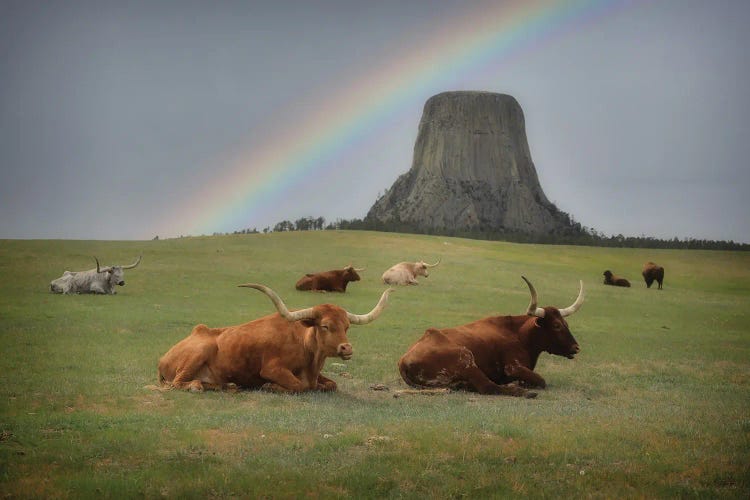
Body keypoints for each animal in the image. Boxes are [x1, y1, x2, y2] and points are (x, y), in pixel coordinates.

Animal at [159, 284, 394, 392]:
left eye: (347, 326)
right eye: (325, 326)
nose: (347, 348)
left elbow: (331, 385)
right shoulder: (271, 369)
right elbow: (300, 386)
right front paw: (270, 387)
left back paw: (227, 385)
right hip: (201, 351)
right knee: (178, 382)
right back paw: (196, 385)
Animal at [400, 278, 588, 398]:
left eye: (566, 323)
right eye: (556, 325)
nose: (576, 347)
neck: (519, 335)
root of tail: (403, 360)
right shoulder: (513, 367)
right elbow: (541, 380)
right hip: (465, 358)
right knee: (488, 386)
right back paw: (522, 392)